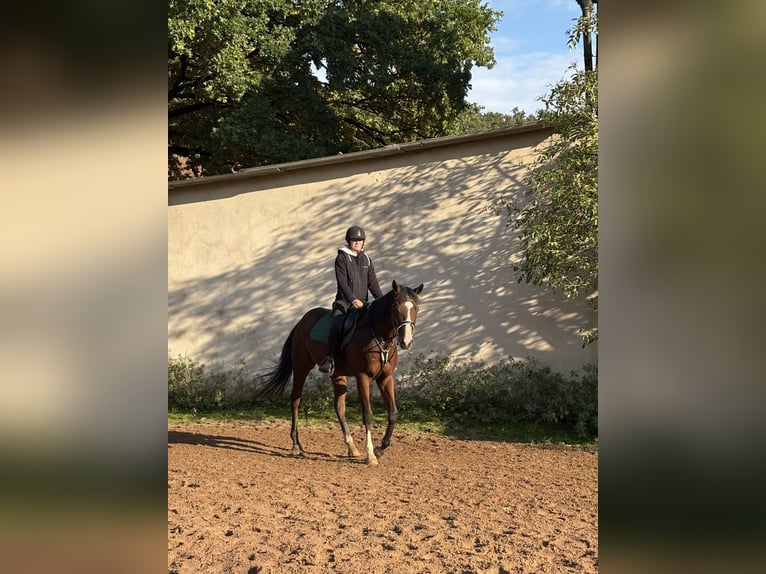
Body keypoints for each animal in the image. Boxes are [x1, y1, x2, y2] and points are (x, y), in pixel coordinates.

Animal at [257, 280, 423, 466]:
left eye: (416, 308)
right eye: (396, 307)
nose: (406, 342)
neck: (378, 335)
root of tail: (303, 321)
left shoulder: (385, 378)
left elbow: (393, 413)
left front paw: (380, 449)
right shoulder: (362, 377)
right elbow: (367, 415)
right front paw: (371, 454)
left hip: (337, 374)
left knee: (339, 407)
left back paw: (351, 447)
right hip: (301, 367)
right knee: (295, 400)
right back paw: (296, 445)